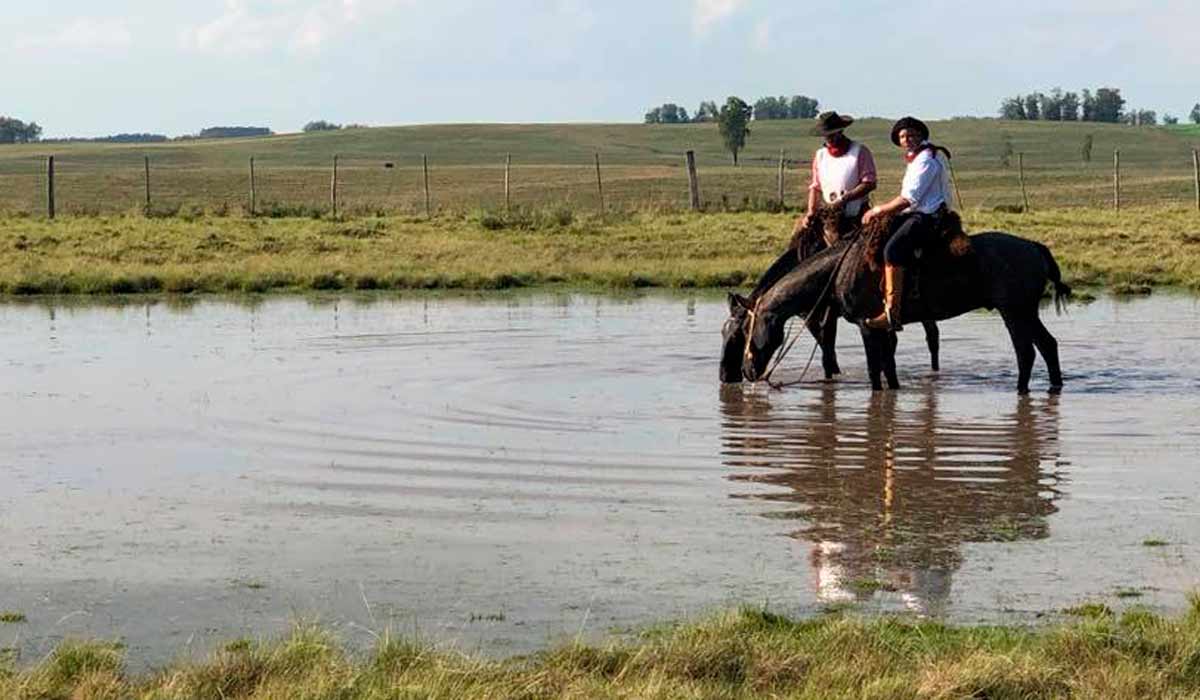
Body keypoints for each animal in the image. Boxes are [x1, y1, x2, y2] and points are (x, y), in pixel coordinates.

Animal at [715, 211, 940, 386]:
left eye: (738, 335)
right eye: (722, 333)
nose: (725, 376)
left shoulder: (826, 317)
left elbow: (828, 353)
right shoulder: (811, 319)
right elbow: (827, 352)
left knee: (931, 336)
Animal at [720, 230, 1070, 393]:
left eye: (741, 332)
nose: (737, 374)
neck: (838, 269)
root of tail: (1034, 247)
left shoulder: (866, 325)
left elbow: (875, 370)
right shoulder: (881, 327)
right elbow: (888, 368)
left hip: (1014, 312)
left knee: (1026, 351)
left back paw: (1021, 391)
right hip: (1027, 311)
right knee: (1048, 345)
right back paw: (1054, 387)